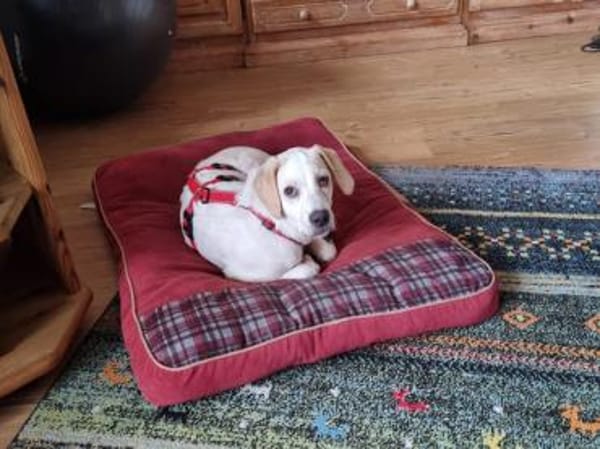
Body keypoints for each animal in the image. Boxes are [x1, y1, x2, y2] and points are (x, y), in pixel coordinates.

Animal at [179, 144, 354, 282]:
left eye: (324, 180)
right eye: (289, 191)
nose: (321, 218)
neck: (271, 223)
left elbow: (328, 252)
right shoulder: (240, 274)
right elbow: (307, 269)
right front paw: (306, 260)